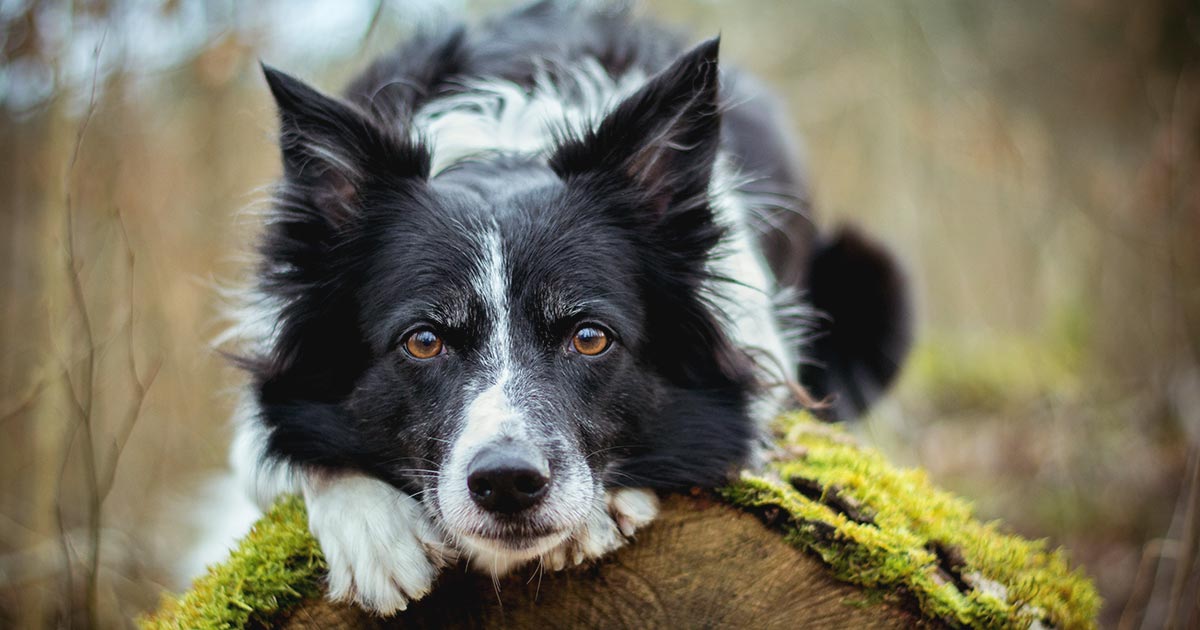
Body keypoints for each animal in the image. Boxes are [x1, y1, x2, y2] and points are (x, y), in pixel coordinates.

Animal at [226, 0, 907, 614]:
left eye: (589, 337)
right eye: (423, 340)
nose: (507, 483)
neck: (501, 154)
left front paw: (601, 510)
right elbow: (281, 446)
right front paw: (372, 530)